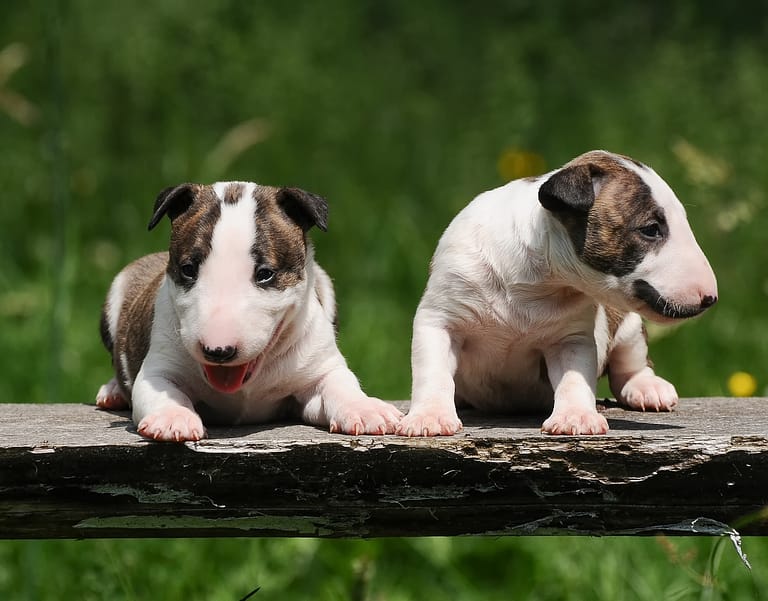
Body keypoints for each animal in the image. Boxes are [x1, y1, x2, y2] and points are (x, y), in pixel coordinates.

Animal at [96, 180, 402, 438]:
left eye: (265, 273)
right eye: (188, 269)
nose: (218, 351)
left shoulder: (318, 370)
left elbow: (339, 383)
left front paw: (365, 409)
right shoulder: (160, 366)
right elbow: (160, 389)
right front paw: (173, 417)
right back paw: (113, 391)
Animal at [402, 150, 720, 436]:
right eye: (651, 229)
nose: (711, 298)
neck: (534, 277)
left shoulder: (571, 338)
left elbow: (574, 377)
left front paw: (576, 417)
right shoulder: (441, 319)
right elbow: (434, 372)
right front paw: (429, 416)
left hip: (628, 327)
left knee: (631, 365)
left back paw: (648, 388)